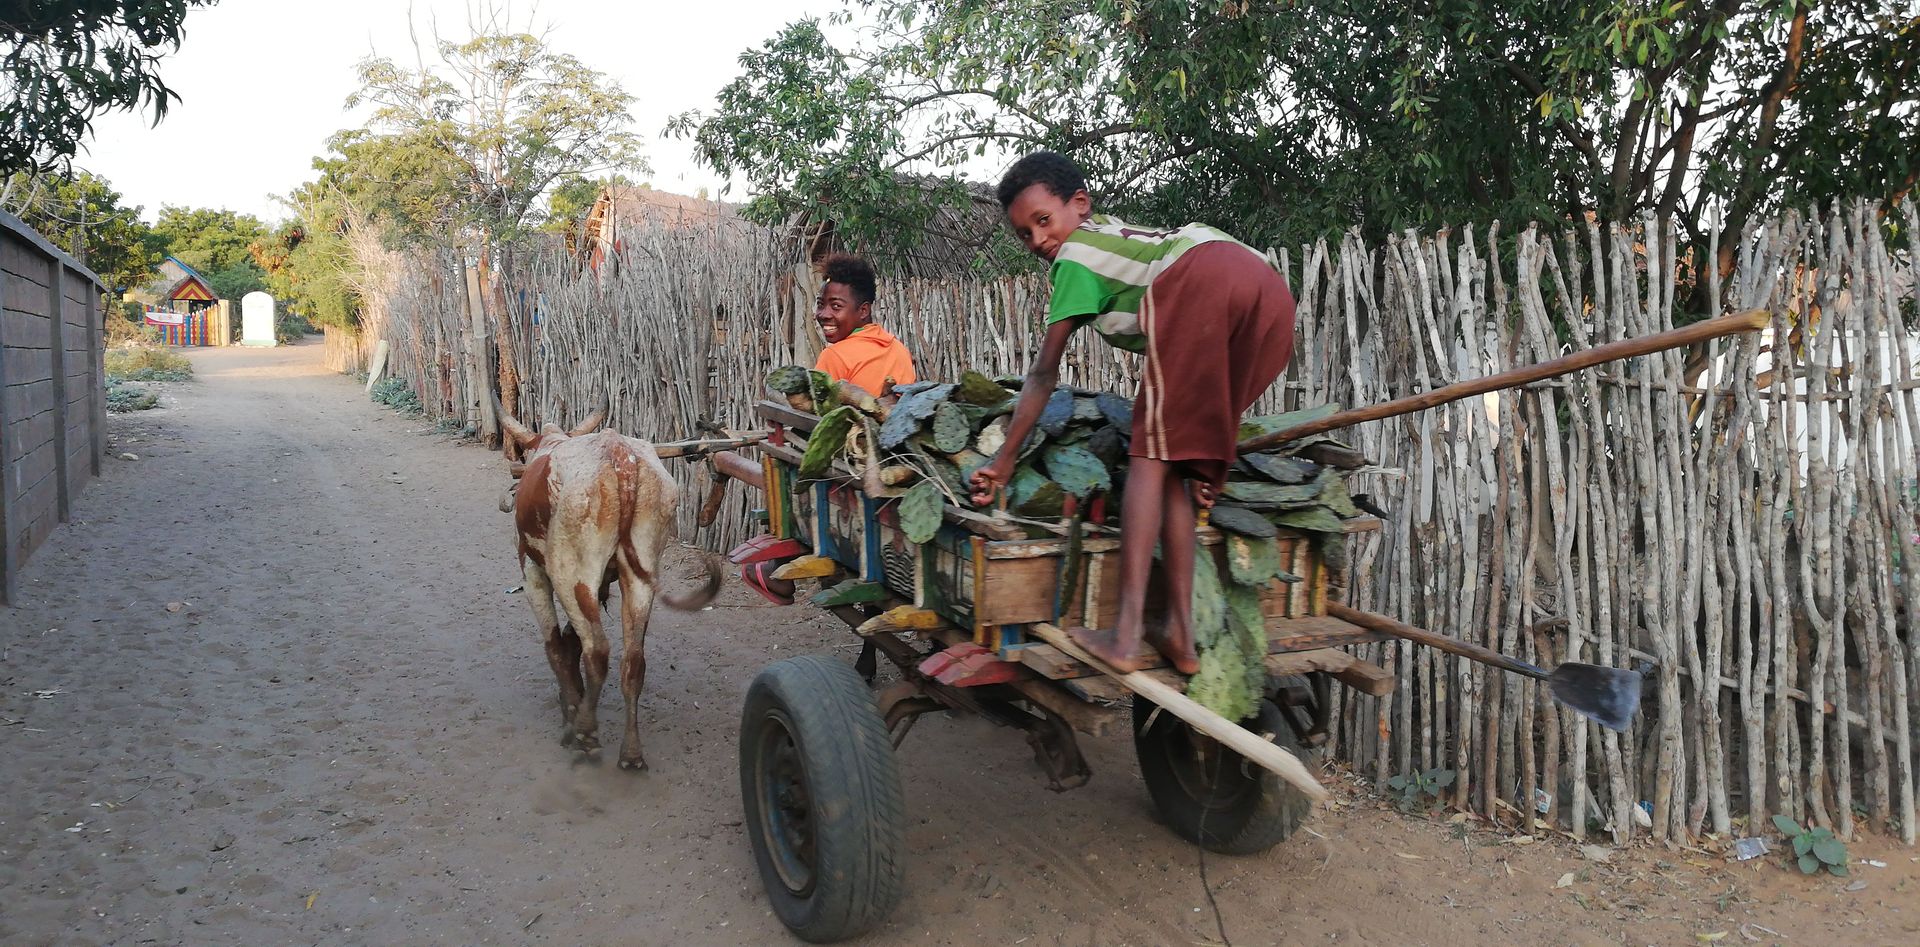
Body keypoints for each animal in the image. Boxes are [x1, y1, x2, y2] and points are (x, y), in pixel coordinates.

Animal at [497, 404, 721, 771]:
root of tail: (620, 456)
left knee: (598, 650)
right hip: (639, 572)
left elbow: (556, 647)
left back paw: (585, 735)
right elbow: (570, 642)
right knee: (633, 660)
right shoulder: (603, 585)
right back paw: (631, 753)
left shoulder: (532, 573)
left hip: (571, 573)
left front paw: (570, 714)